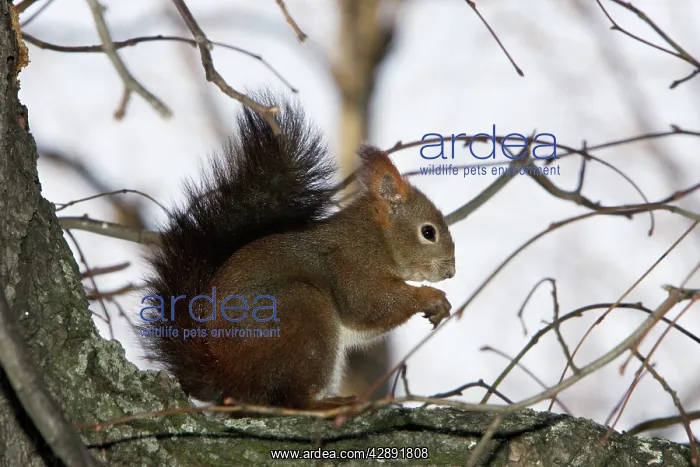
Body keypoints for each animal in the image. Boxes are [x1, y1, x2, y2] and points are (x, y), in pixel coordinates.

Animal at [139, 91, 456, 410]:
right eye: (428, 232)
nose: (451, 271)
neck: (378, 237)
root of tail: (228, 378)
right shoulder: (352, 263)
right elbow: (369, 304)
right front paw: (431, 297)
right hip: (302, 313)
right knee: (290, 399)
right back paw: (328, 404)